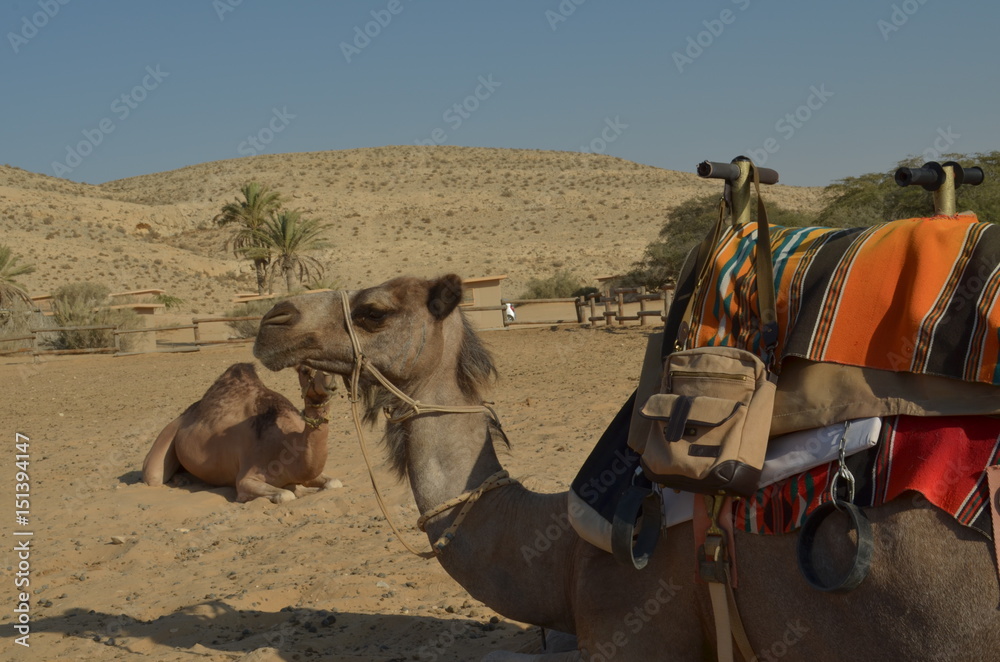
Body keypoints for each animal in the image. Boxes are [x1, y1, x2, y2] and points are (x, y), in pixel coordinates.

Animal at [142, 362, 339, 503]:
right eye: (305, 370)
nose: (330, 382)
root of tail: (181, 417)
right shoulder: (246, 478)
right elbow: (285, 495)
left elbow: (334, 483)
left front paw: (309, 489)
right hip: (166, 437)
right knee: (154, 476)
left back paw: (184, 480)